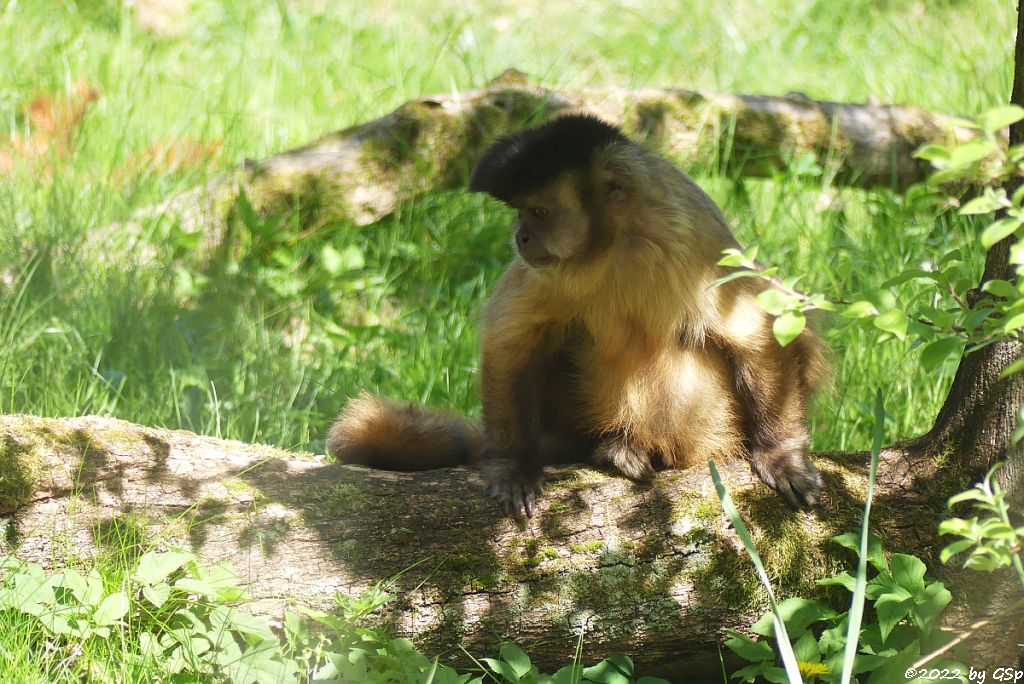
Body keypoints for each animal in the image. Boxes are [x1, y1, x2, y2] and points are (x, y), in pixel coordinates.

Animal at [327, 113, 831, 518]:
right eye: (519, 214)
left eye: (537, 211)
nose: (521, 237)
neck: (615, 244)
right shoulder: (548, 269)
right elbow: (512, 343)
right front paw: (513, 464)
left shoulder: (689, 237)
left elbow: (755, 332)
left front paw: (780, 455)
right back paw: (606, 448)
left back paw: (630, 447)